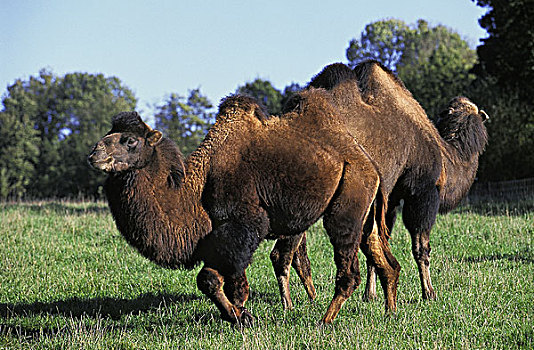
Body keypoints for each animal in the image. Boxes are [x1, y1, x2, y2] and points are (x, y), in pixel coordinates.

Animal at [87, 90, 402, 326]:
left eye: (130, 140)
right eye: (109, 133)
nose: (94, 153)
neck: (196, 190)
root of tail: (368, 162)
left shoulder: (243, 222)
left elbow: (213, 280)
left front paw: (240, 317)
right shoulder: (221, 233)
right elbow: (226, 282)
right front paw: (242, 315)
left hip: (349, 197)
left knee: (349, 269)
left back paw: (325, 320)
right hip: (366, 211)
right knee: (382, 256)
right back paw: (390, 312)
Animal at [276, 60, 490, 306]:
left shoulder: (389, 197)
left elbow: (378, 245)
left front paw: (370, 294)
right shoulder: (422, 192)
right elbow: (421, 247)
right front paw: (429, 293)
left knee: (296, 252)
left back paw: (310, 297)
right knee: (282, 253)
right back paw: (288, 305)